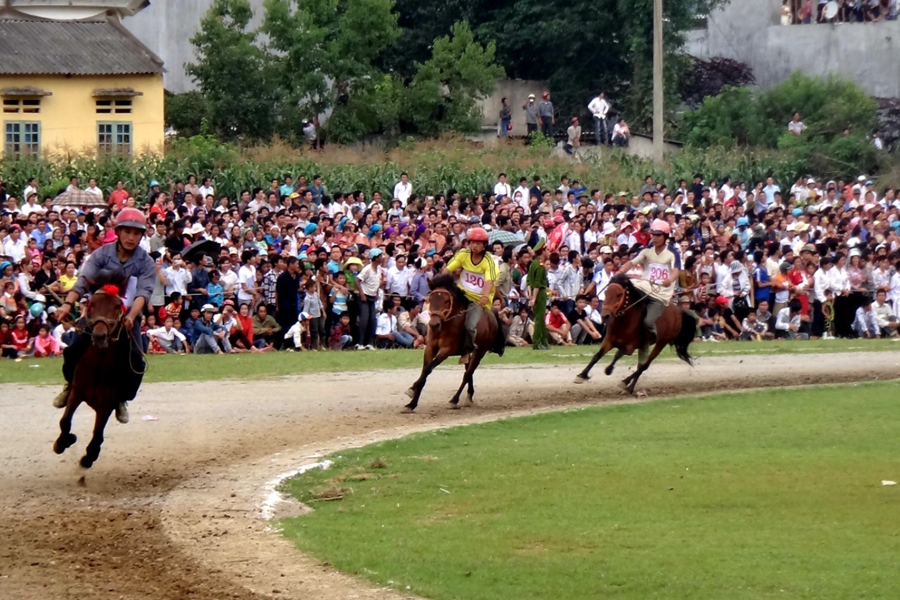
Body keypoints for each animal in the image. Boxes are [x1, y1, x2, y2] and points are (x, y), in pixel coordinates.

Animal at [52, 276, 134, 468]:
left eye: (117, 306)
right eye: (92, 304)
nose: (99, 336)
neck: (97, 368)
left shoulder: (106, 405)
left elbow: (97, 435)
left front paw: (89, 456)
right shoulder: (76, 393)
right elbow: (65, 421)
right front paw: (64, 441)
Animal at [404, 276, 502, 412]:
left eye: (446, 301)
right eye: (430, 299)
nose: (434, 324)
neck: (445, 325)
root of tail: (492, 315)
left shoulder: (446, 350)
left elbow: (428, 369)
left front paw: (413, 389)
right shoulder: (430, 348)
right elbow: (425, 370)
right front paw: (411, 403)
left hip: (480, 351)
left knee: (467, 374)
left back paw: (454, 400)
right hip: (468, 353)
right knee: (468, 372)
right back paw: (469, 396)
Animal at [572, 274, 700, 396]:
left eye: (619, 295)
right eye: (606, 292)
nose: (605, 316)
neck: (624, 321)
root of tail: (678, 312)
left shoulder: (630, 347)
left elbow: (618, 354)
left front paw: (609, 369)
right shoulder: (608, 341)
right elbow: (597, 356)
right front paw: (581, 375)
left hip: (662, 342)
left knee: (644, 365)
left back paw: (625, 382)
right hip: (645, 345)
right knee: (640, 365)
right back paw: (629, 388)